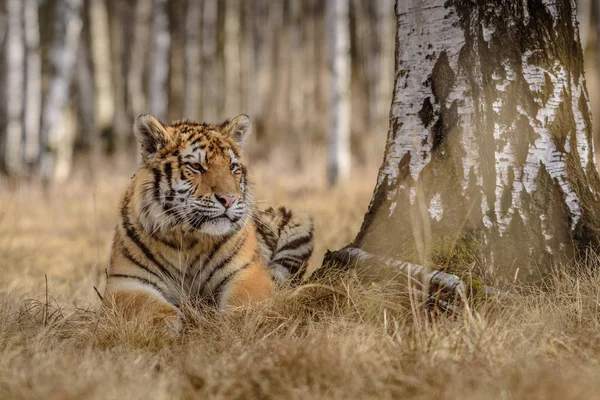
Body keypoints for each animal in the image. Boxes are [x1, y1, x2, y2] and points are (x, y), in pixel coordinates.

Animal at [104, 113, 314, 332]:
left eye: (232, 167)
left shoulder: (247, 272)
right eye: (196, 167)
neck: (187, 238)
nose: (228, 199)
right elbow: (146, 305)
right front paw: (168, 325)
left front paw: (233, 323)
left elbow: (243, 303)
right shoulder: (124, 282)